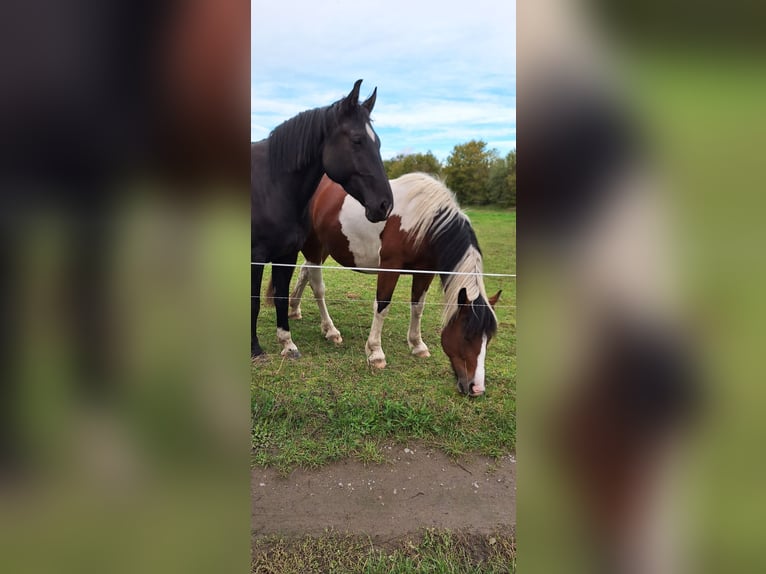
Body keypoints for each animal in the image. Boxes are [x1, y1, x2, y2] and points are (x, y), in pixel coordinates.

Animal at [254, 80, 396, 360]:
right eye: (357, 140)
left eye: (378, 143)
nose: (385, 205)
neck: (271, 187)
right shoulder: (256, 255)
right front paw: (254, 349)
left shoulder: (286, 254)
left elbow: (281, 295)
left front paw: (287, 343)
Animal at [292, 173, 500, 398]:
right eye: (466, 336)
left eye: (488, 338)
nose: (476, 388)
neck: (425, 219)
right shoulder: (390, 266)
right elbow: (382, 306)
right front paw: (376, 353)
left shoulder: (425, 272)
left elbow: (417, 307)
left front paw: (417, 345)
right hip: (314, 247)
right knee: (317, 286)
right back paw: (330, 330)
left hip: (323, 248)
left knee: (305, 272)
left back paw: (294, 309)